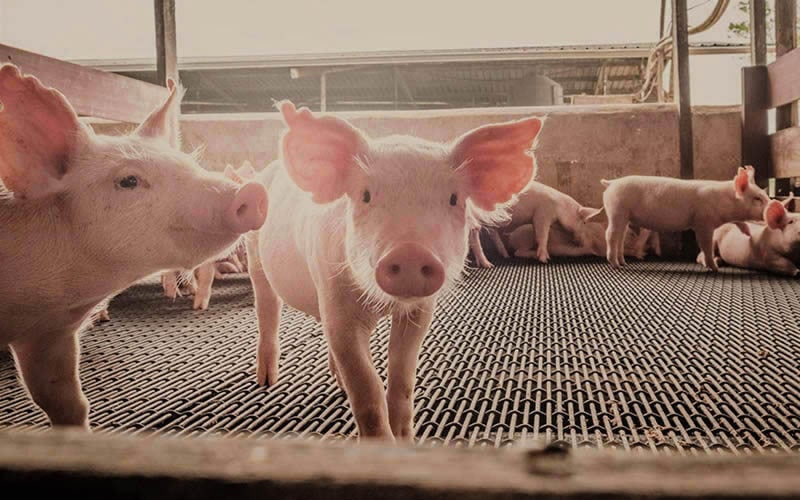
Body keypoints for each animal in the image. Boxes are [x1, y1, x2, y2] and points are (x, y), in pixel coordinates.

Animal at [247, 102, 543, 441]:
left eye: (453, 199)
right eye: (365, 195)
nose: (410, 252)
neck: (383, 305)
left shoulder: (420, 311)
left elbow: (402, 376)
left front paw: (405, 438)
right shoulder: (335, 300)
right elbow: (366, 387)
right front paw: (382, 443)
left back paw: (336, 383)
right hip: (255, 256)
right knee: (267, 310)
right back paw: (266, 380)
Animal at [600, 166, 769, 270]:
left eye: (764, 194)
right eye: (757, 198)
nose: (772, 207)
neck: (725, 201)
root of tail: (612, 183)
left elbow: (739, 222)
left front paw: (748, 233)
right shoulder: (703, 221)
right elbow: (706, 245)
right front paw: (715, 268)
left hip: (624, 216)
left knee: (620, 237)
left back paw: (623, 263)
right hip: (616, 210)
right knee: (610, 234)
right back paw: (615, 265)